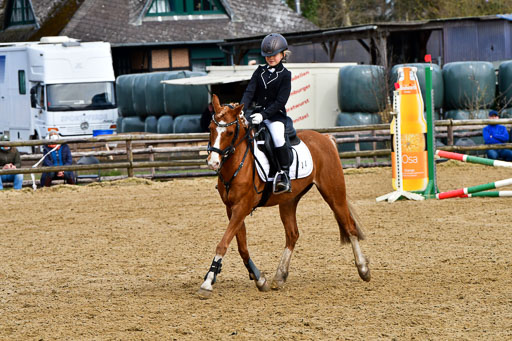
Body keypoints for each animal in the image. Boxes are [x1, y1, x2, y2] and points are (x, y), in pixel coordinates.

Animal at [198, 94, 370, 296]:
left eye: (230, 132)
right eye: (210, 128)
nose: (213, 163)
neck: (238, 163)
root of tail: (325, 138)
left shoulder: (242, 207)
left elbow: (224, 243)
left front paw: (208, 281)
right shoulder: (231, 209)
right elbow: (242, 247)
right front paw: (259, 279)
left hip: (334, 194)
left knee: (350, 227)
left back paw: (363, 269)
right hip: (289, 200)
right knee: (292, 235)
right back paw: (280, 276)